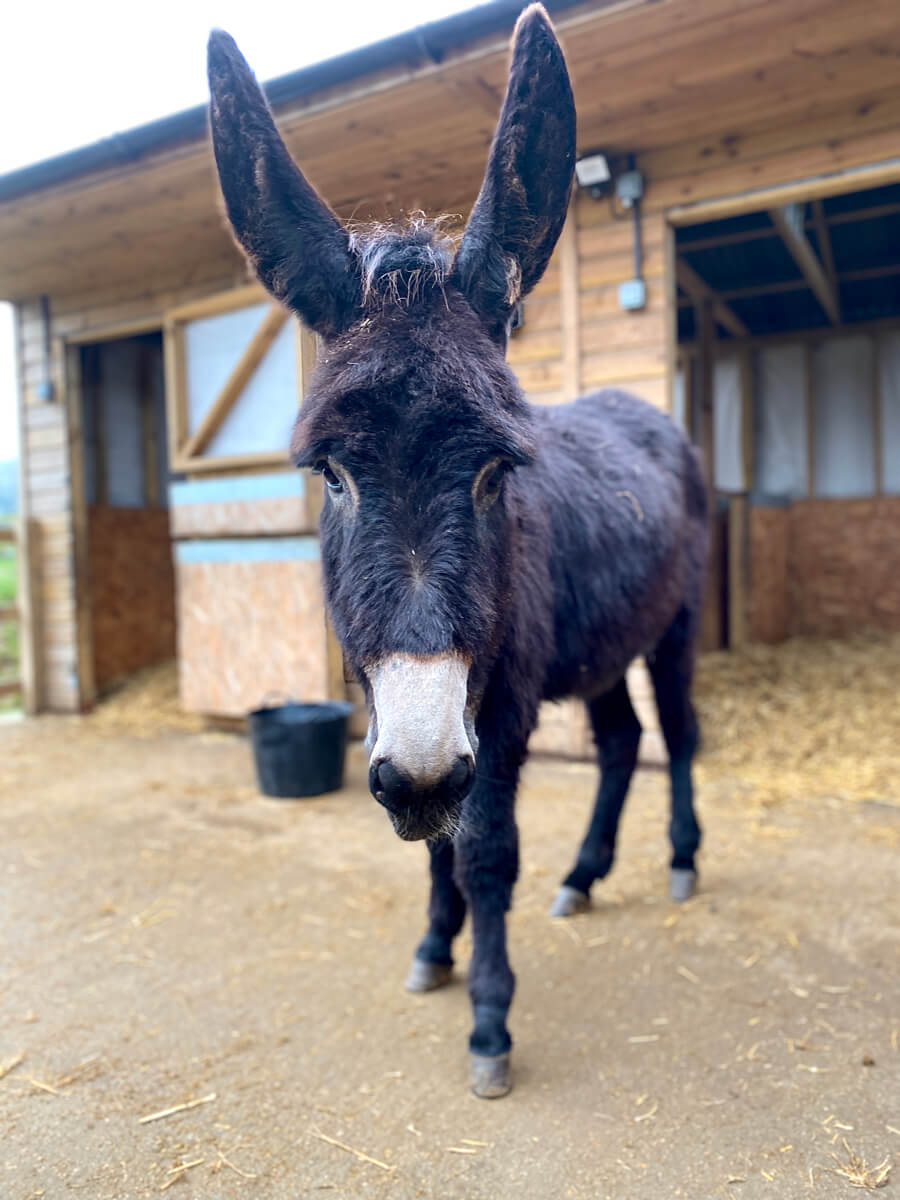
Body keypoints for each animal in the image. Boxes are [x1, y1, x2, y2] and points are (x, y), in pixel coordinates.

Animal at [207, 3, 707, 1099]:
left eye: (493, 472)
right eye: (332, 475)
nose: (426, 775)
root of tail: (642, 409)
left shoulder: (499, 707)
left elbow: (481, 852)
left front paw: (489, 1020)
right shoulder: (403, 707)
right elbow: (437, 847)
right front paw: (435, 948)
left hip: (676, 623)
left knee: (680, 734)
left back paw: (684, 861)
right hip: (601, 643)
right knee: (620, 741)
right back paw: (583, 877)